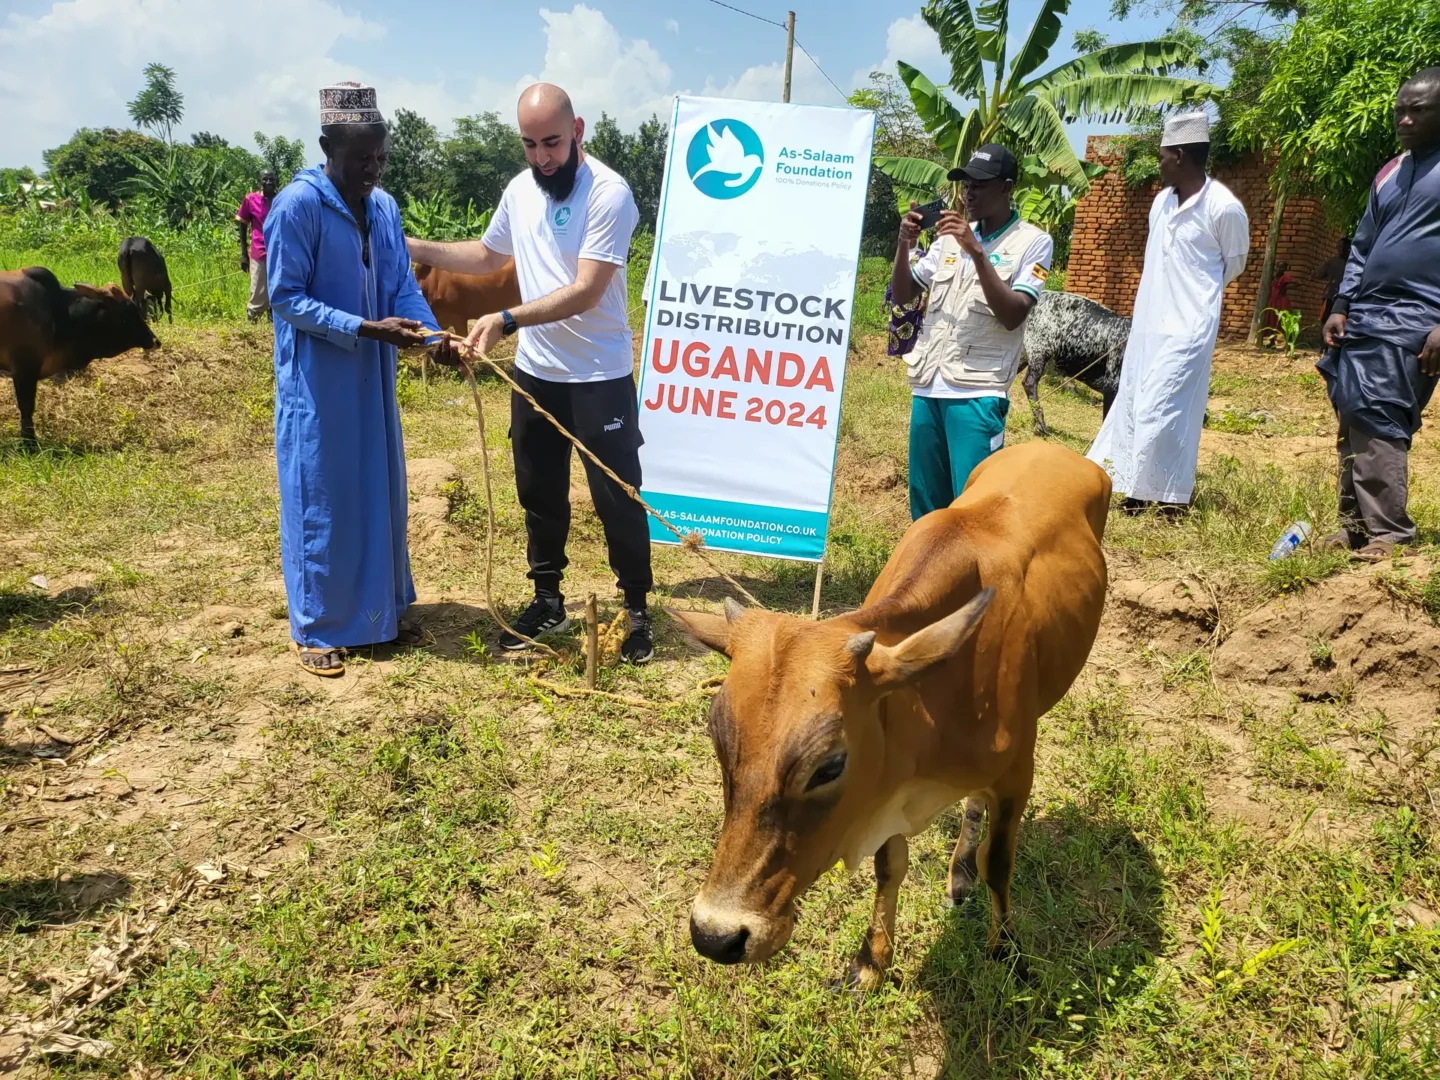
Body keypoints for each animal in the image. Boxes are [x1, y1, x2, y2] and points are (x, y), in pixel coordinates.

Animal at [0, 270, 160, 449]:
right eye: (130, 311)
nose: (155, 341)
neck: (58, 311)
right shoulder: (24, 367)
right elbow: (26, 407)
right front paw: (29, 444)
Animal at [668, 440, 1105, 990]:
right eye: (718, 741)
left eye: (829, 766)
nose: (715, 935)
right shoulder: (887, 782)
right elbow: (889, 866)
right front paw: (872, 960)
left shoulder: (1016, 775)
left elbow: (999, 864)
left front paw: (1006, 950)